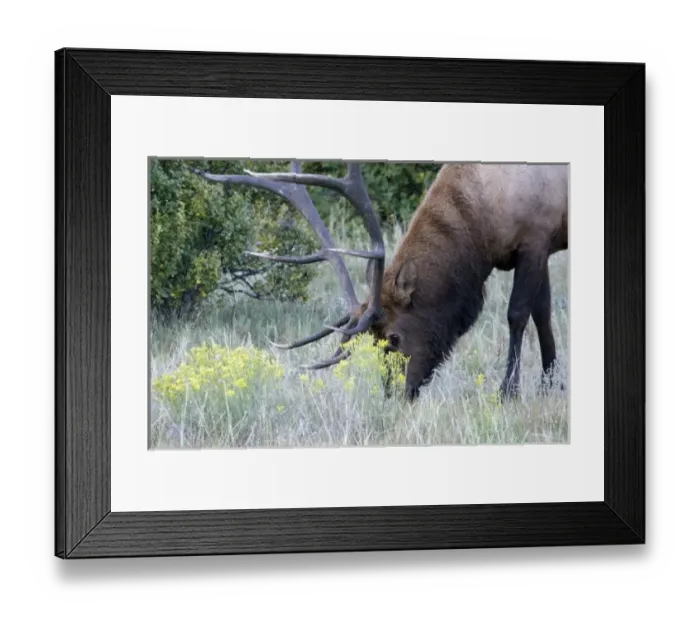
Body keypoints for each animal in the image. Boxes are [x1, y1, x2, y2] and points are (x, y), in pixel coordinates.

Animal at [193, 160, 568, 402]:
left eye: (394, 337)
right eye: (373, 342)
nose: (394, 395)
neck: (483, 221)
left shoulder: (535, 237)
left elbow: (517, 313)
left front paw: (509, 392)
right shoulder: (542, 244)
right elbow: (543, 312)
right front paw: (553, 386)